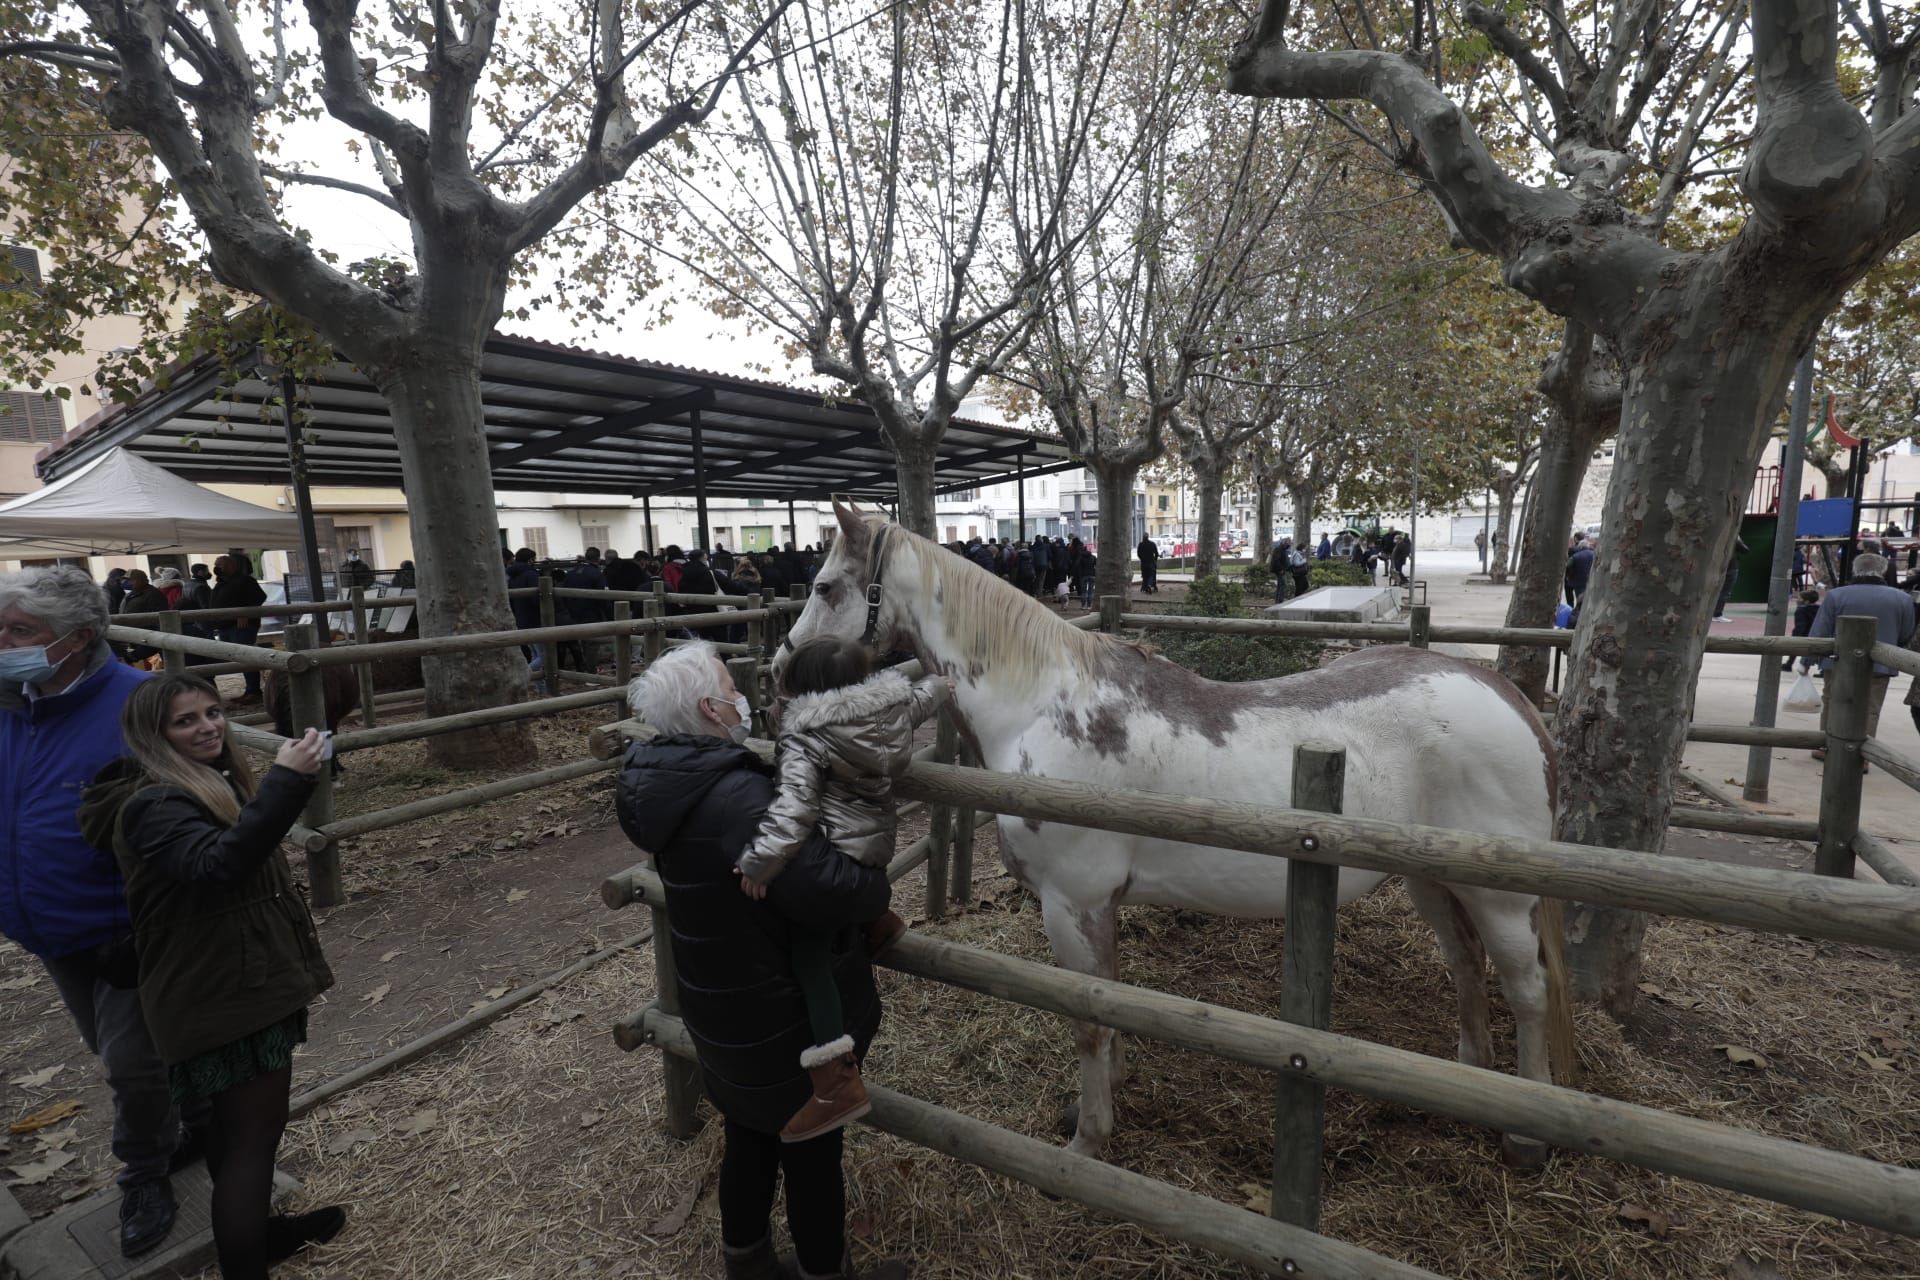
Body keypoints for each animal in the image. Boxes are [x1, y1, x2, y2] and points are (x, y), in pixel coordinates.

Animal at [783, 506, 1574, 1166]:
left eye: (824, 586)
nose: (781, 668)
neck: (1046, 706)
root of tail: (1505, 696)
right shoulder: (1096, 907)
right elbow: (1110, 1001)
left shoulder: (1070, 904)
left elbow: (1087, 1019)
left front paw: (1089, 1137)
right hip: (1430, 880)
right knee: (1466, 966)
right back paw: (1470, 1082)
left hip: (1500, 899)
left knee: (1526, 988)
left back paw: (1527, 1135)